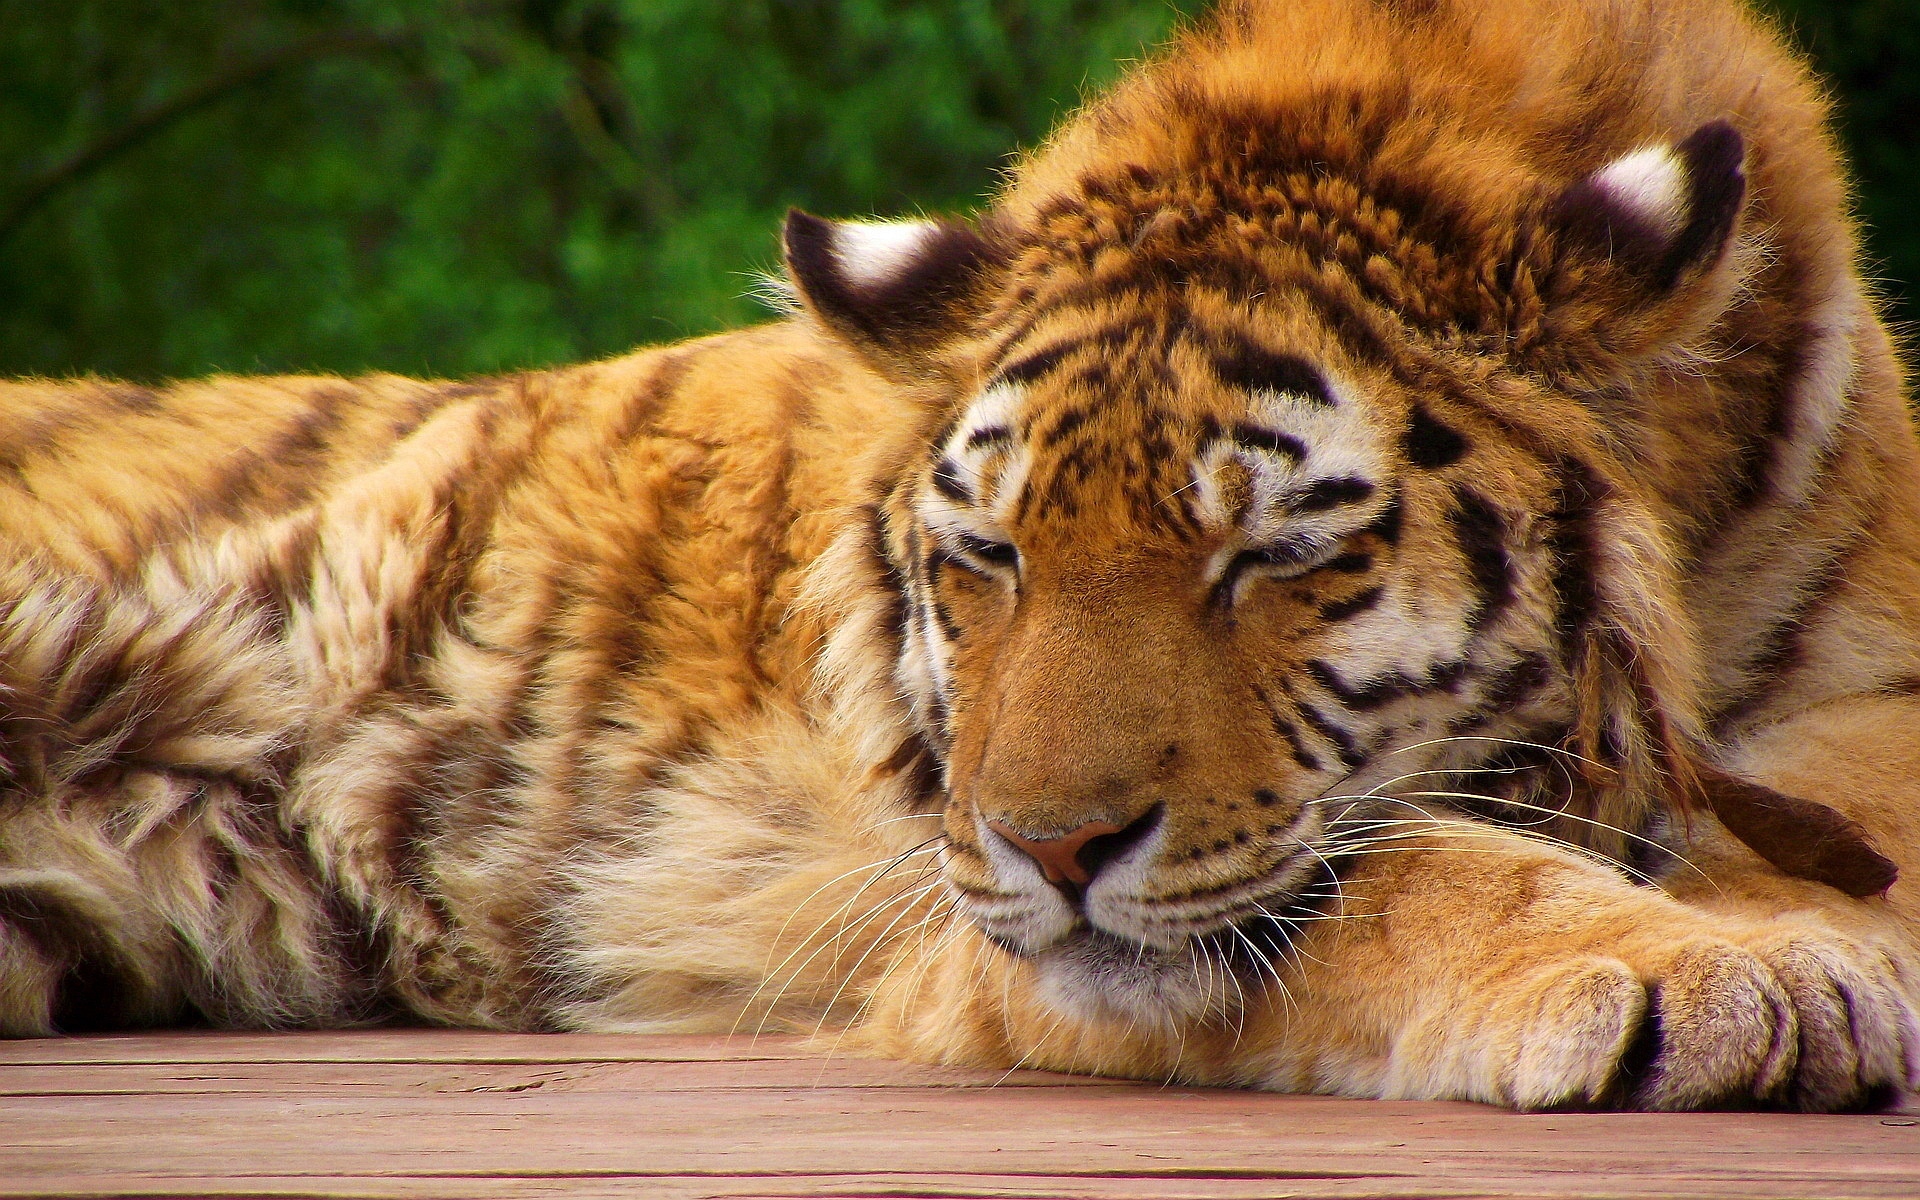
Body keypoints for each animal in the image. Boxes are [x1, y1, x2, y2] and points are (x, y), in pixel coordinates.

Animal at [3, 0, 1919, 1113]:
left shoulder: (1866, 682)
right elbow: (1410, 869)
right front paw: (1726, 974)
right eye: (992, 554)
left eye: (1269, 555)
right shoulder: (973, 921)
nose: (1048, 849)